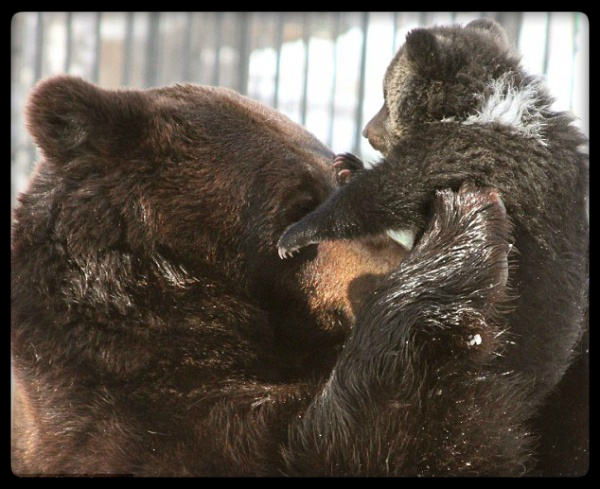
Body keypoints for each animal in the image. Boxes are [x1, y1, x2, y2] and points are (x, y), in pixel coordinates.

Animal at [12, 74, 540, 474]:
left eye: (341, 181)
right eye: (297, 205)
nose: (390, 265)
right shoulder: (135, 419)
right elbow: (347, 441)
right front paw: (463, 226)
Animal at [278, 19, 588, 472]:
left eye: (385, 95)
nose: (367, 131)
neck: (487, 105)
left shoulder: (468, 152)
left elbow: (391, 191)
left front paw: (298, 232)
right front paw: (347, 165)